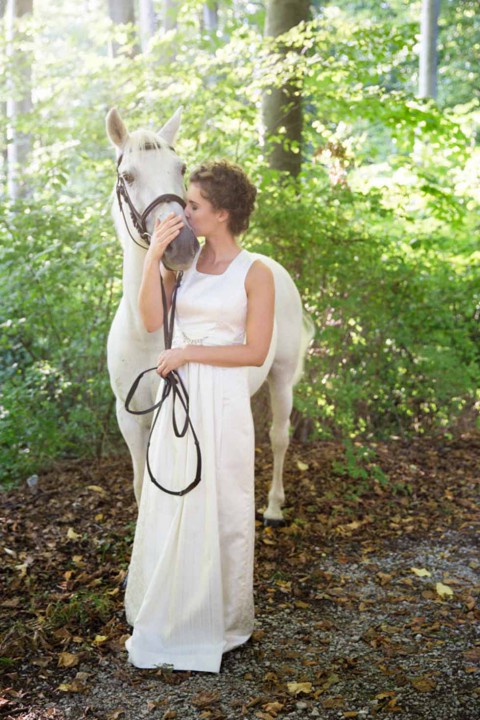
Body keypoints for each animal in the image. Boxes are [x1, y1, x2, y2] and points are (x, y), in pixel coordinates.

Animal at [106, 105, 314, 524]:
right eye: (129, 176)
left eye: (181, 167)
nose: (182, 247)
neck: (146, 333)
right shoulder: (129, 414)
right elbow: (140, 483)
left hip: (282, 377)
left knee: (278, 437)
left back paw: (273, 506)